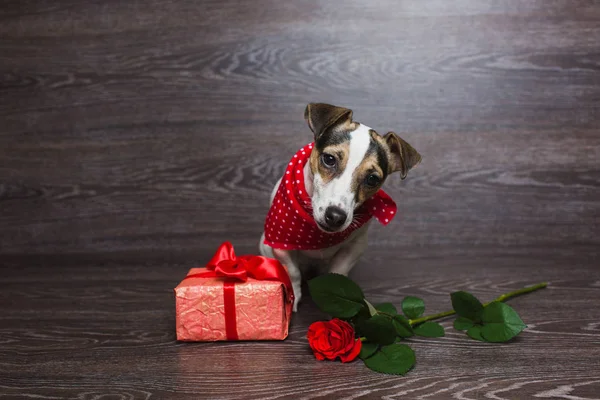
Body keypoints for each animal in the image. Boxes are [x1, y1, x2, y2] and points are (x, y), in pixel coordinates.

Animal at [258, 101, 422, 310]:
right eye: (329, 159)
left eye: (372, 179)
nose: (335, 216)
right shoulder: (280, 243)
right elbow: (292, 272)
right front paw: (293, 297)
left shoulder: (355, 247)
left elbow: (337, 273)